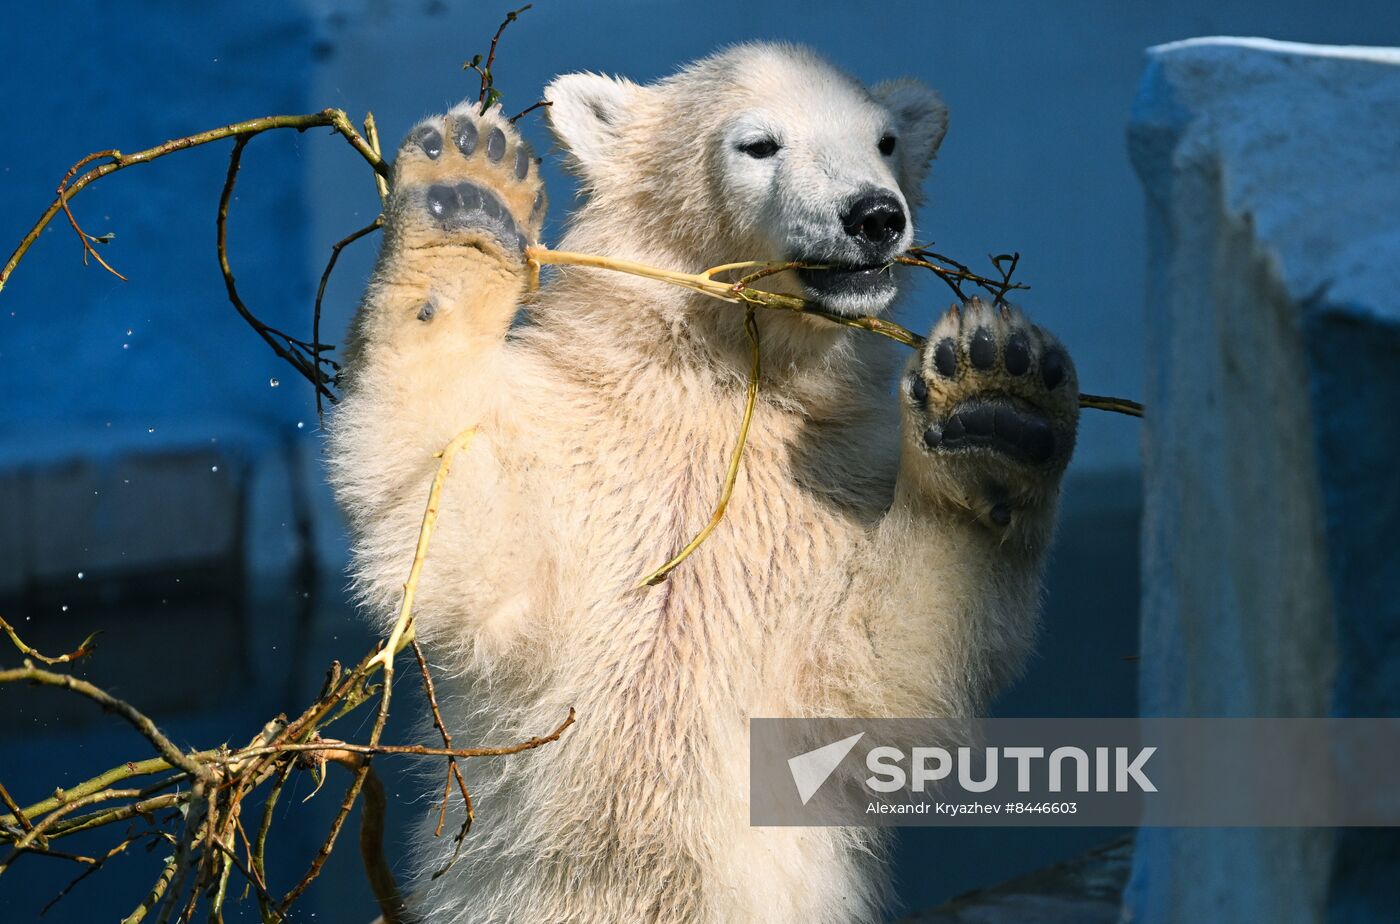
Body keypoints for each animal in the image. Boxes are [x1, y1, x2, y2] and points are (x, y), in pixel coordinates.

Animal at [330, 39, 1080, 918]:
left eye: (886, 140)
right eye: (759, 144)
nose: (873, 215)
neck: (719, 383)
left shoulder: (827, 492)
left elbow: (885, 658)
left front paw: (995, 395)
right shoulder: (584, 457)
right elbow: (452, 519)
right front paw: (465, 192)